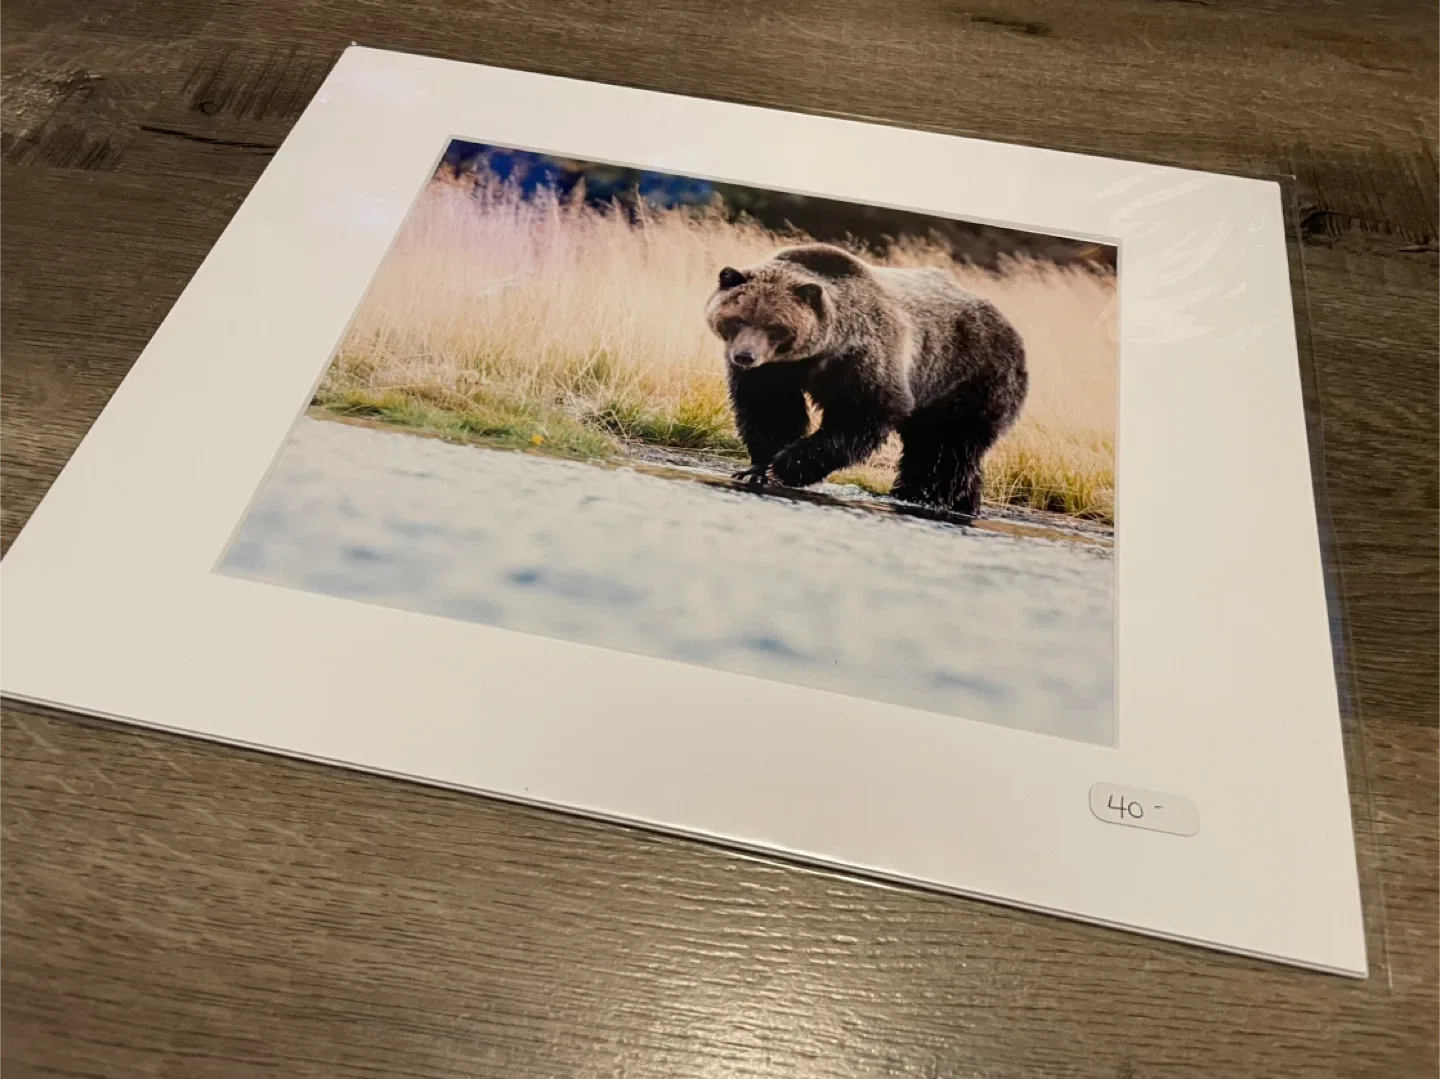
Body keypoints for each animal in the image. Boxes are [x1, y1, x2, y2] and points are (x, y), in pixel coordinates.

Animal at [704, 243, 1028, 516]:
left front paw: (786, 464)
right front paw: (757, 467)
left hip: (968, 376)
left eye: (774, 326)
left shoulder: (863, 359)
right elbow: (770, 412)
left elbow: (863, 414)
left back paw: (925, 497)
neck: (815, 354)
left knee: (944, 447)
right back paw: (959, 501)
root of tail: (1011, 327)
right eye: (738, 319)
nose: (744, 356)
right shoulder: (774, 373)